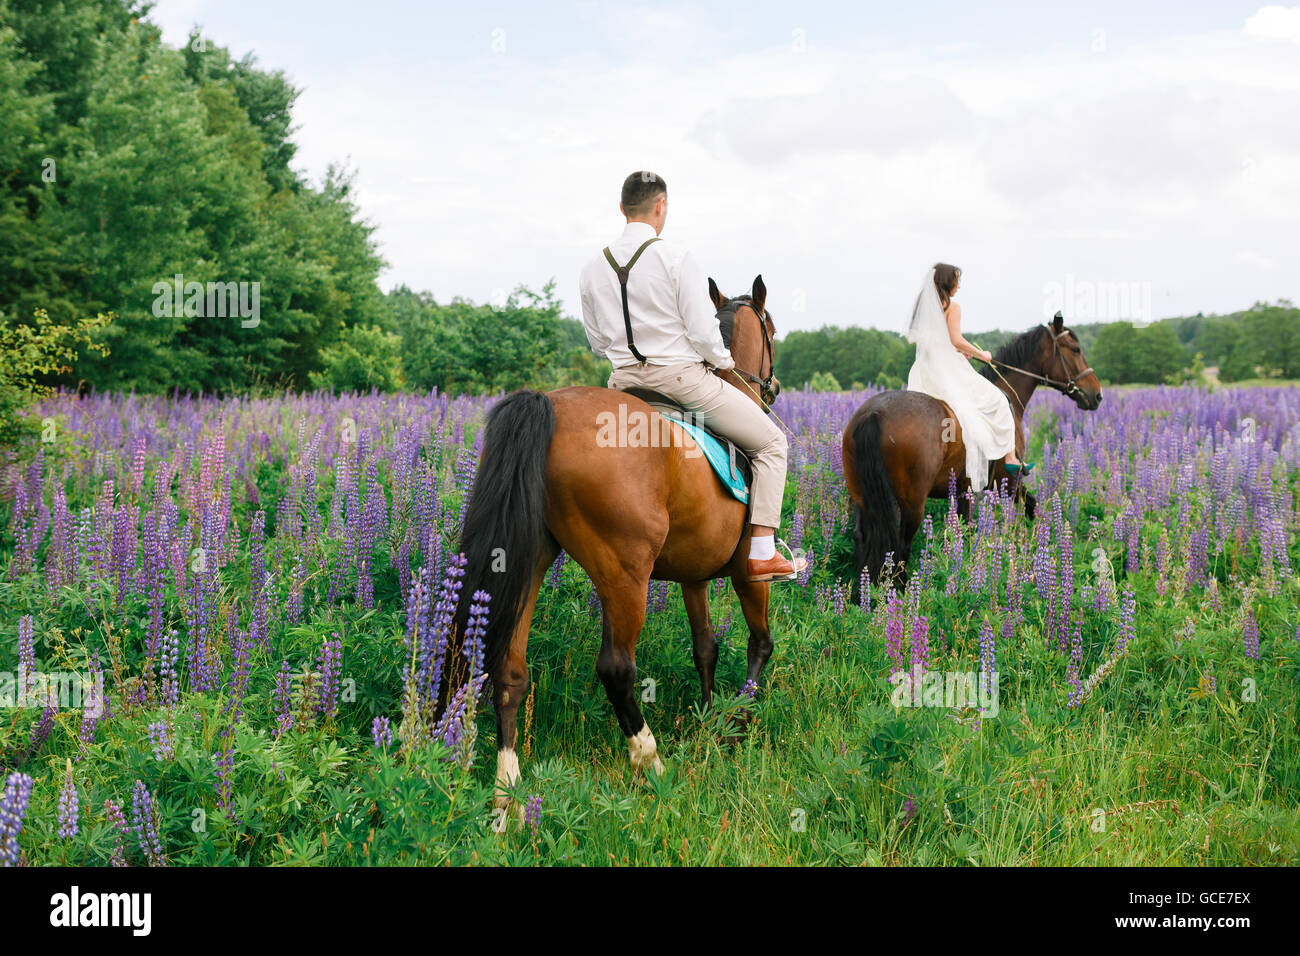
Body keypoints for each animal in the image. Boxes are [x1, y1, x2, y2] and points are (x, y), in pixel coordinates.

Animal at [452, 274, 780, 806]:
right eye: (772, 330)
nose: (772, 387)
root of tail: (551, 405)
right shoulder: (749, 574)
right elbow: (760, 643)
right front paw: (738, 719)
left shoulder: (693, 576)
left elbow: (705, 646)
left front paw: (710, 716)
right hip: (625, 575)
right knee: (616, 669)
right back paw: (652, 764)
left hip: (528, 562)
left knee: (509, 670)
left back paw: (508, 798)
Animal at [837, 310, 1102, 587]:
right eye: (1075, 349)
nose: (1097, 395)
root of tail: (874, 413)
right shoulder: (1009, 479)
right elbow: (1031, 505)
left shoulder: (964, 488)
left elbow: (965, 529)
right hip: (912, 503)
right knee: (901, 546)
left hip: (861, 496)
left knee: (862, 537)